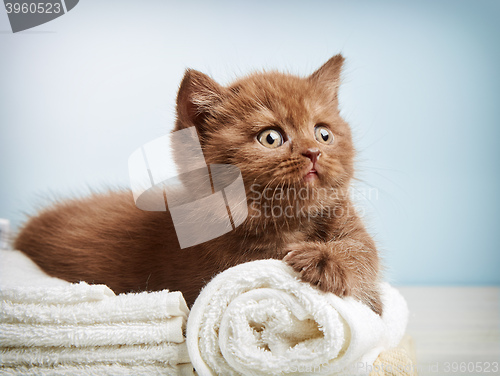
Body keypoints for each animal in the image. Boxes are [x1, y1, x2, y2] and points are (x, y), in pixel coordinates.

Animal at [14, 54, 382, 314]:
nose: (314, 152)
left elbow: (365, 253)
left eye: (323, 133)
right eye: (271, 137)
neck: (289, 222)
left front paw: (328, 261)